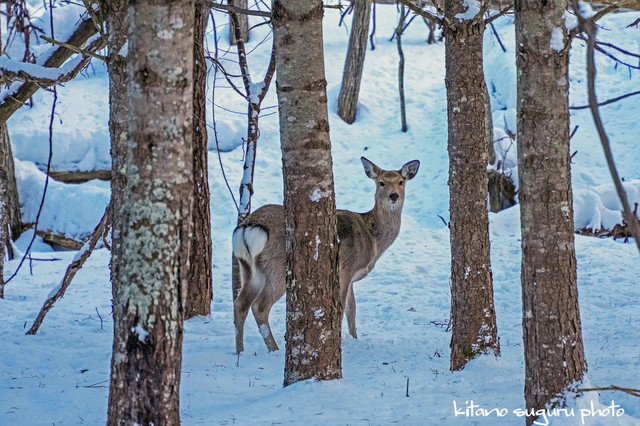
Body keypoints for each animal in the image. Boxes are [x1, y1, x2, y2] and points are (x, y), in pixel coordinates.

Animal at [232, 157, 420, 353]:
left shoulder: (351, 277)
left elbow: (352, 309)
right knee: (260, 306)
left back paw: (240, 351)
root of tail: (248, 227)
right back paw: (274, 350)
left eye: (401, 182)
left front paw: (354, 339)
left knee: (240, 304)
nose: (394, 196)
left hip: (249, 269)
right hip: (278, 267)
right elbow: (341, 309)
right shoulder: (345, 269)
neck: (372, 238)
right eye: (381, 182)